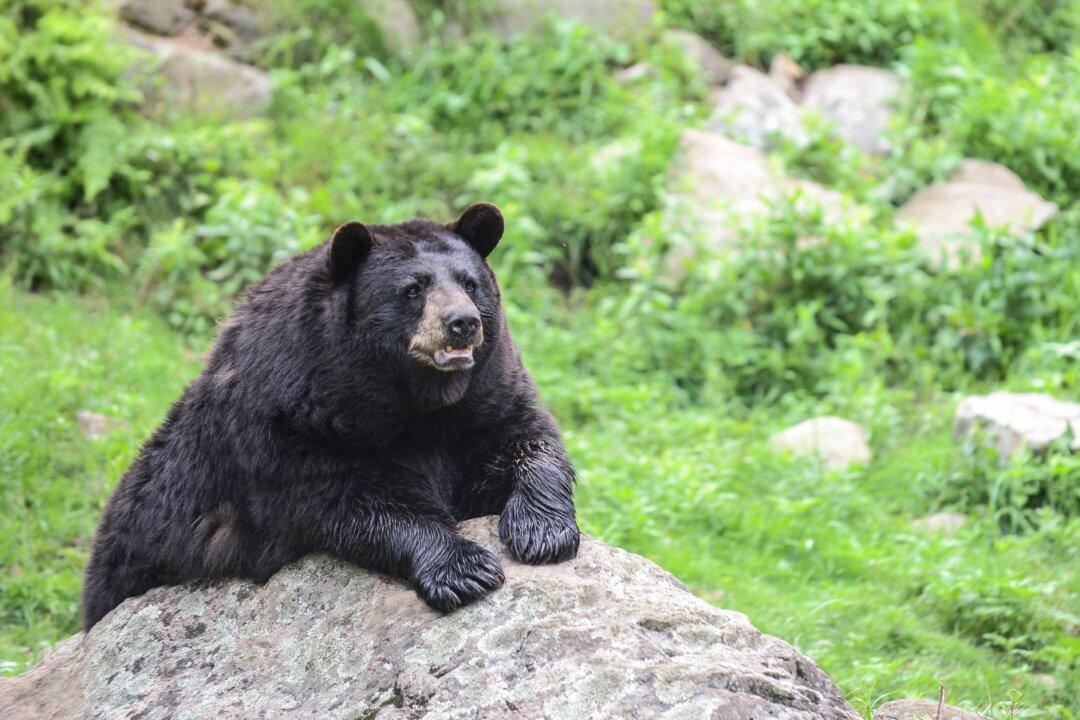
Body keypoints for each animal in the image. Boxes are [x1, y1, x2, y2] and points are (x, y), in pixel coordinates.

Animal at [81, 203, 580, 629]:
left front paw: (542, 530)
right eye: (412, 289)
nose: (463, 322)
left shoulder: (486, 395)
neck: (409, 399)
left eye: (470, 283)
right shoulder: (290, 424)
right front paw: (464, 567)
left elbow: (525, 437)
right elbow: (352, 500)